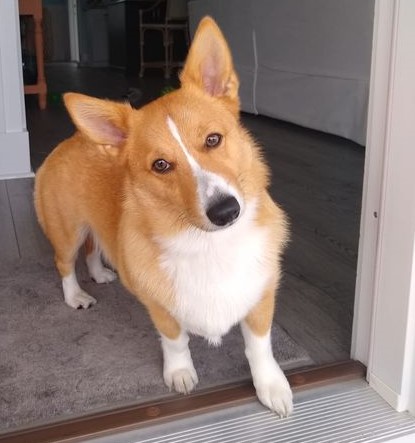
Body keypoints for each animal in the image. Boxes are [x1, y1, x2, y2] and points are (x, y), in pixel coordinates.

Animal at [34, 17, 293, 417]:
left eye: (214, 139)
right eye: (160, 165)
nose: (225, 211)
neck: (210, 245)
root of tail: (72, 139)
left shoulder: (261, 297)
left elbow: (259, 347)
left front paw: (271, 387)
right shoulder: (160, 308)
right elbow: (175, 341)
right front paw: (180, 374)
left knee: (94, 249)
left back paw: (99, 274)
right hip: (68, 231)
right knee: (64, 264)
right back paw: (76, 295)